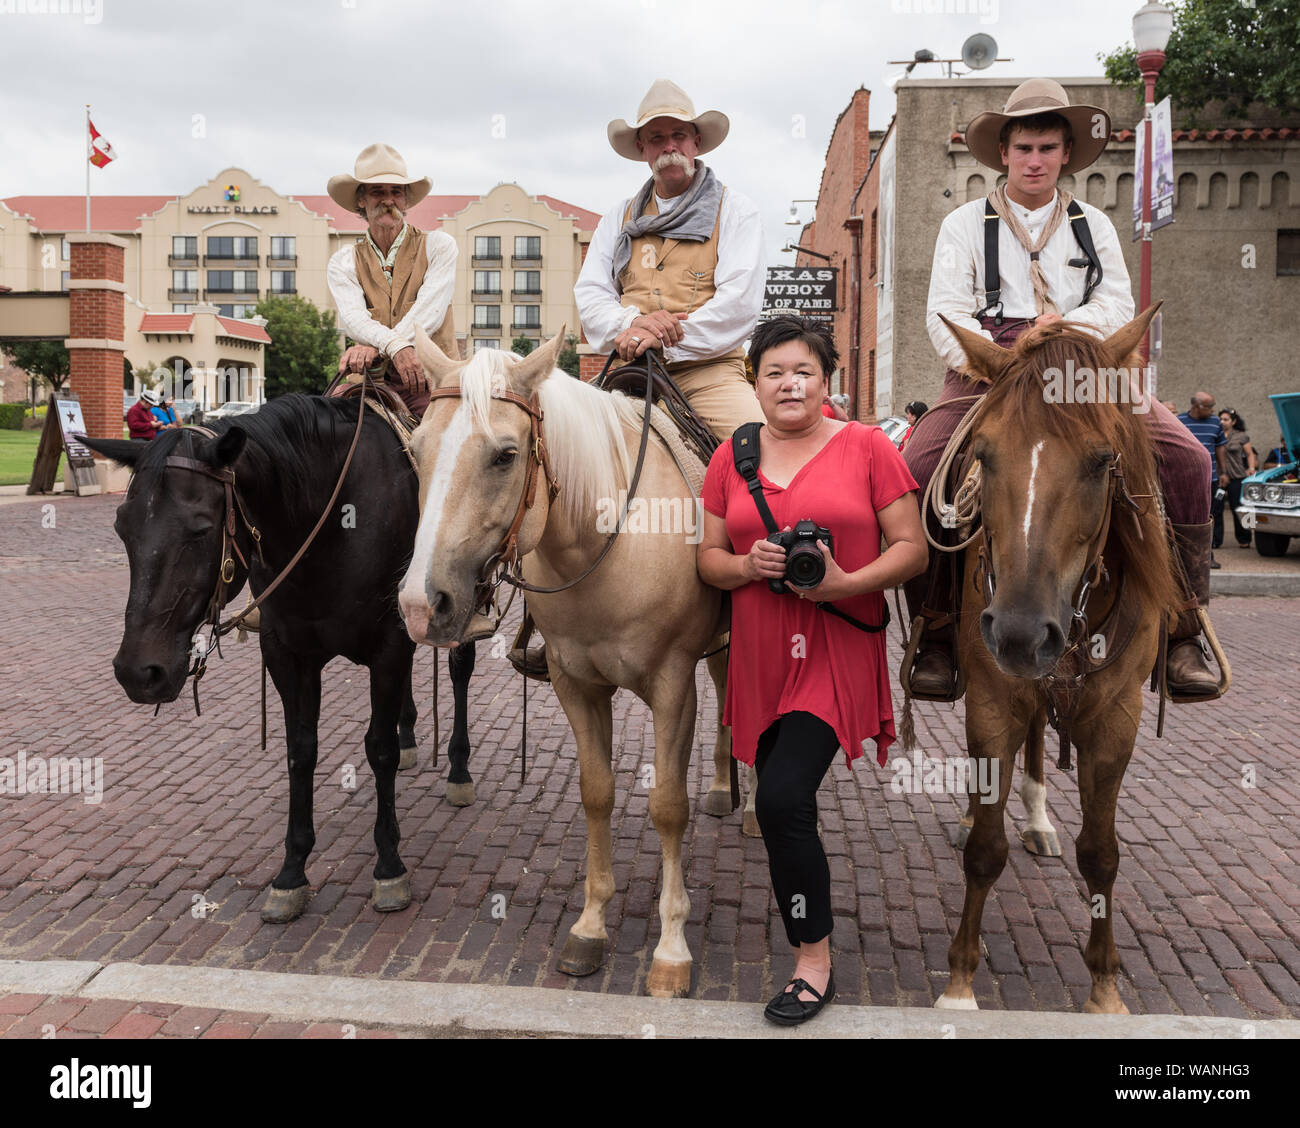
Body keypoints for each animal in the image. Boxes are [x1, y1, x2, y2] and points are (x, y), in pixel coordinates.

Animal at [85, 397, 483, 925]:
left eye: (201, 529)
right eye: (121, 528)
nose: (138, 671)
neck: (329, 522)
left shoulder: (389, 646)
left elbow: (378, 750)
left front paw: (389, 865)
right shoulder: (287, 653)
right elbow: (301, 751)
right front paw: (292, 871)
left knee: (460, 672)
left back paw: (458, 769)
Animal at [395, 326, 733, 998]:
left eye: (505, 455)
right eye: (416, 449)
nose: (422, 605)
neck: (611, 542)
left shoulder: (673, 686)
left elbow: (667, 807)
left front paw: (671, 949)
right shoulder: (574, 684)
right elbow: (596, 792)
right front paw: (591, 924)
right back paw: (724, 785)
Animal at [935, 307, 1190, 1013]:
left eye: (1104, 461)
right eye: (982, 454)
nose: (1020, 633)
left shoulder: (1116, 719)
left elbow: (1101, 854)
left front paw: (1105, 988)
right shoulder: (994, 698)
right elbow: (984, 848)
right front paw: (960, 986)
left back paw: (1038, 816)